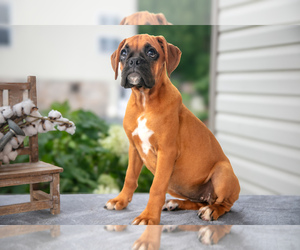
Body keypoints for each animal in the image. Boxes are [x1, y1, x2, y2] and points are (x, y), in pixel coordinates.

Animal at [104, 33, 240, 225]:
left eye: (151, 52)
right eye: (123, 53)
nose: (134, 61)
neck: (144, 101)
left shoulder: (166, 152)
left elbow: (156, 188)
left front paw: (148, 217)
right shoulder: (134, 148)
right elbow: (130, 177)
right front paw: (120, 200)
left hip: (223, 171)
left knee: (224, 204)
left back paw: (211, 211)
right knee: (198, 202)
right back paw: (176, 203)